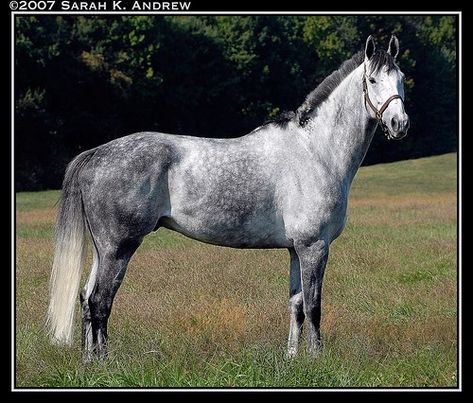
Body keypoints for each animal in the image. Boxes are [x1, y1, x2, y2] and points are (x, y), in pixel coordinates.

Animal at [48, 35, 410, 360]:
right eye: (372, 79)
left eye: (402, 79)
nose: (399, 123)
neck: (315, 151)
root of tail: (96, 154)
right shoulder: (314, 246)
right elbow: (314, 305)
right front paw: (317, 359)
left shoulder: (296, 248)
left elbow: (295, 305)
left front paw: (292, 358)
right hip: (118, 247)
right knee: (100, 301)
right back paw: (103, 363)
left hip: (103, 249)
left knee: (86, 298)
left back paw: (88, 361)